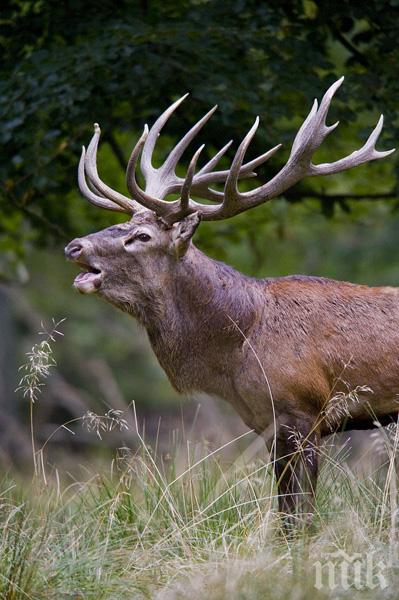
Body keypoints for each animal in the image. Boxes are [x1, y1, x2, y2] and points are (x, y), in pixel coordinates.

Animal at [65, 79, 396, 516]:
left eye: (142, 236)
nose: (74, 245)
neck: (239, 343)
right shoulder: (269, 425)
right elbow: (285, 509)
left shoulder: (305, 411)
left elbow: (302, 512)